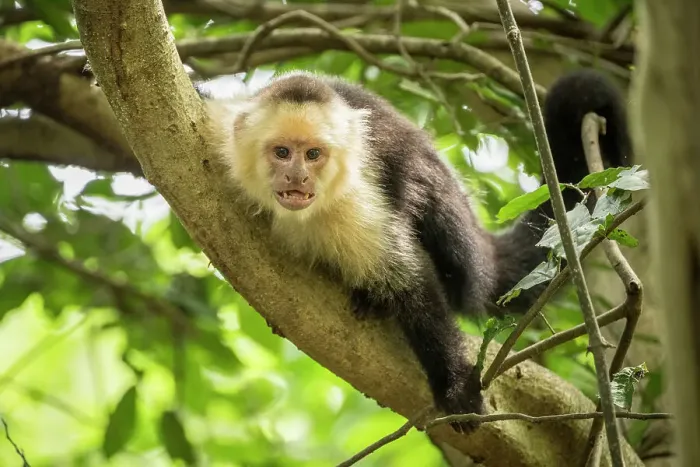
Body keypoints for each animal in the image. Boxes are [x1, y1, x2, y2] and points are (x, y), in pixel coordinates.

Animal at [200, 68, 631, 433]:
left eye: (313, 155)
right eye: (282, 153)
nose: (297, 177)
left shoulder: (356, 202)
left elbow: (411, 283)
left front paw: (455, 388)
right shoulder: (218, 130)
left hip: (459, 241)